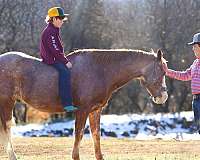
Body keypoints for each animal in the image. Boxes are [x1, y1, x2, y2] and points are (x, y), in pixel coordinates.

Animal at [0, 48, 168, 159]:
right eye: (161, 71)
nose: (164, 97)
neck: (99, 70)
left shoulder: (95, 111)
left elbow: (96, 135)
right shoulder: (82, 110)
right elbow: (79, 134)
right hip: (7, 103)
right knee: (7, 128)